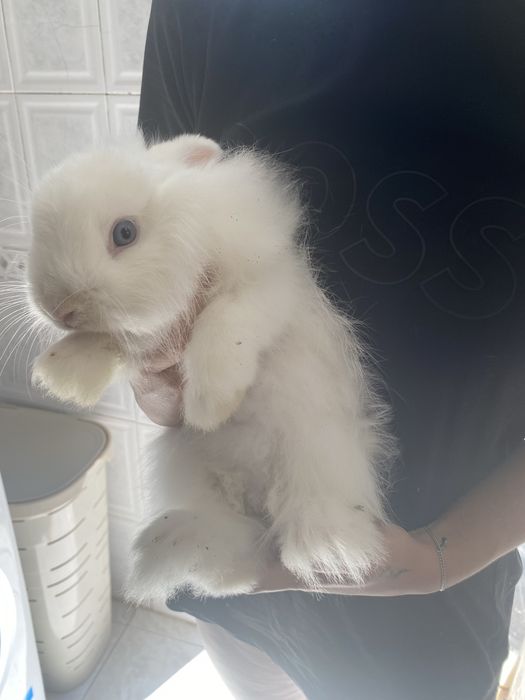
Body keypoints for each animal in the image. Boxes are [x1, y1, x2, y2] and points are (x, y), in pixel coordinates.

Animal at [26, 133, 394, 604]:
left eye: (124, 233)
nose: (60, 308)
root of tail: (251, 494)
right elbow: (107, 340)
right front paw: (62, 379)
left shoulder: (264, 288)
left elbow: (224, 321)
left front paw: (210, 405)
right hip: (194, 482)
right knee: (231, 543)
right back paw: (215, 568)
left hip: (318, 450)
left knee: (311, 509)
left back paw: (324, 551)